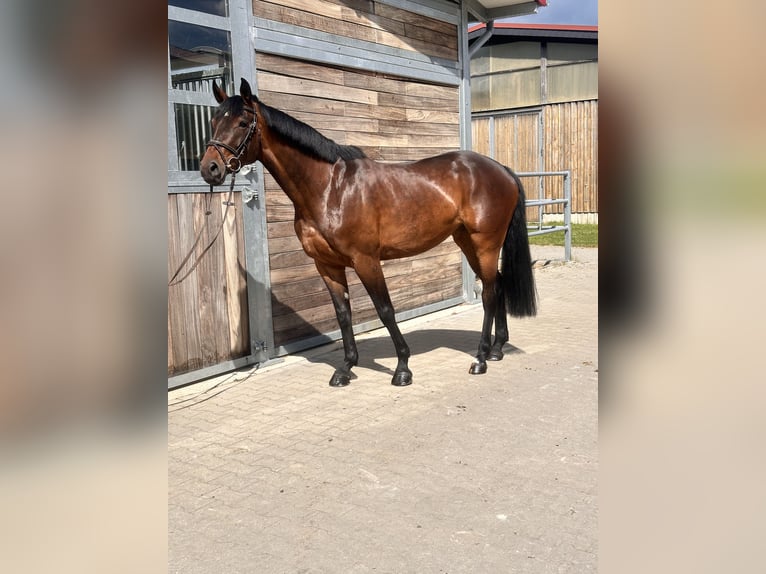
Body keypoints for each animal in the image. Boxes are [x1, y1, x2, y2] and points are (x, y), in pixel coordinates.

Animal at [200, 78, 536, 387]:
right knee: (498, 284)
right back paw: (497, 348)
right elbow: (343, 314)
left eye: (243, 122)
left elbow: (385, 309)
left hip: (485, 243)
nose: (209, 169)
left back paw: (480, 358)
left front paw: (402, 368)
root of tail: (502, 170)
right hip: (467, 241)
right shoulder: (327, 265)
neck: (330, 190)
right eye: (214, 121)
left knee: (490, 292)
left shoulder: (366, 260)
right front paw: (345, 368)